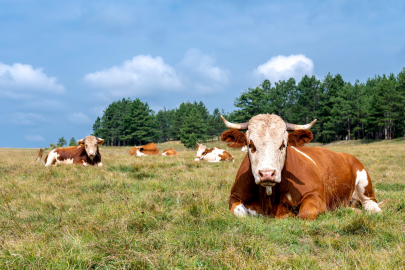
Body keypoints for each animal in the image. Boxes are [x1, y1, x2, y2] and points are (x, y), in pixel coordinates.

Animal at [219, 113, 380, 220]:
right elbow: (240, 212)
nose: (267, 174)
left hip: (364, 182)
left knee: (370, 204)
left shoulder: (315, 195)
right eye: (250, 144)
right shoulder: (234, 196)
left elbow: (305, 214)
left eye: (283, 145)